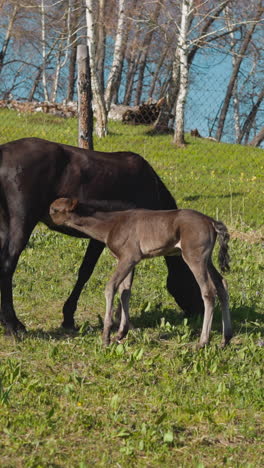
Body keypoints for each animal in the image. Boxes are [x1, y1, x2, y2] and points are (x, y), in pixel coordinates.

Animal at [0, 135, 203, 332]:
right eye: (194, 281)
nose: (199, 311)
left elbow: (87, 272)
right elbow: (96, 274)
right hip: (23, 220)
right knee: (8, 264)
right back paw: (13, 325)